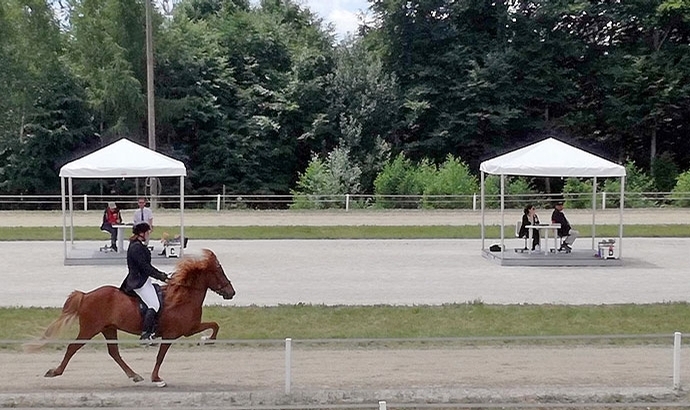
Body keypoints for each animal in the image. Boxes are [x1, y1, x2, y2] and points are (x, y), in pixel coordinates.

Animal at [26, 248, 234, 386]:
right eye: (219, 273)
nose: (232, 292)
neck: (183, 296)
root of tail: (86, 295)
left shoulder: (189, 328)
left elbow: (215, 325)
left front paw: (207, 339)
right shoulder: (172, 335)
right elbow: (160, 357)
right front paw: (157, 379)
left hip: (108, 328)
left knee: (114, 352)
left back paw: (134, 375)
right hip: (89, 329)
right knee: (72, 348)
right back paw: (55, 372)